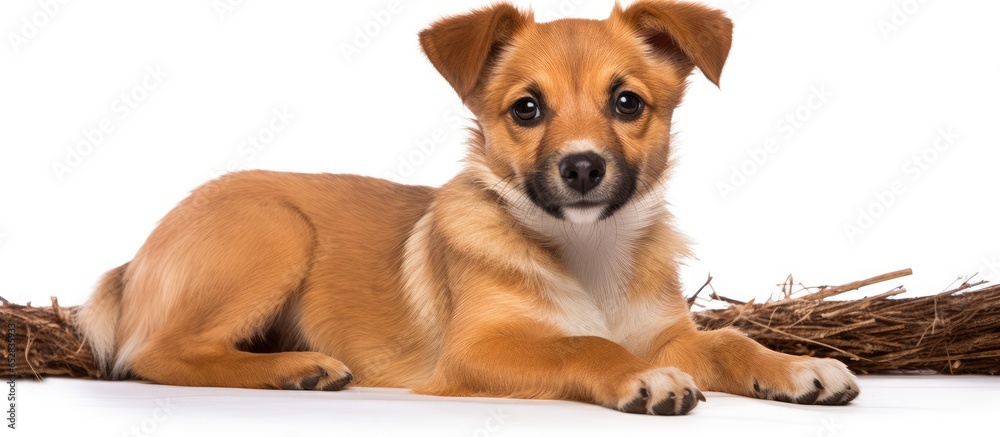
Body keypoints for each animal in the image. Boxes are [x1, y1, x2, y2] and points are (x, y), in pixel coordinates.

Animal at [78, 0, 860, 414]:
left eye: (627, 103)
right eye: (527, 109)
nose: (583, 167)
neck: (586, 252)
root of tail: (135, 259)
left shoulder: (666, 332)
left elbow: (726, 341)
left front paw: (796, 366)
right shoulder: (480, 350)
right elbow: (581, 343)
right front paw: (636, 377)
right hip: (276, 231)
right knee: (155, 354)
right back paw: (296, 370)